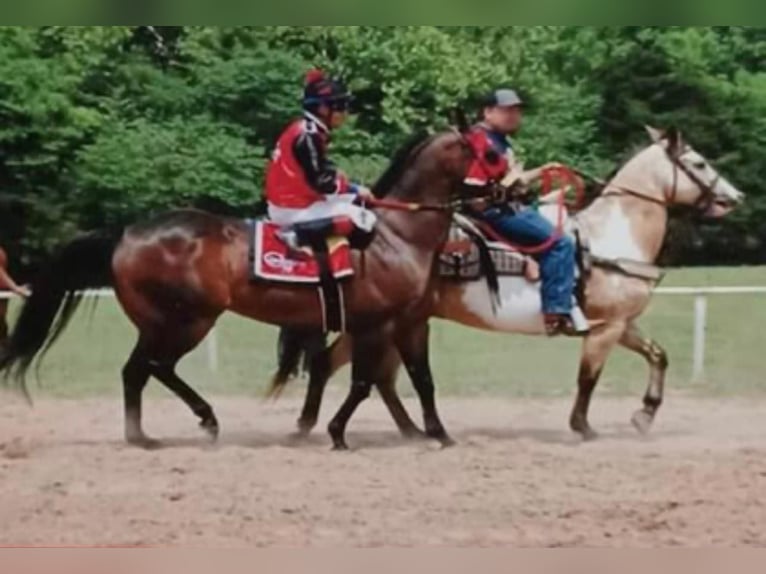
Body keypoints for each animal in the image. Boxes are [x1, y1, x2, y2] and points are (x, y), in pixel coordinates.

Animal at [1, 130, 480, 450]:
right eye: (482, 151)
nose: (493, 192)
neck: (395, 235)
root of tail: (127, 234)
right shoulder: (374, 324)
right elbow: (364, 382)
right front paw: (338, 433)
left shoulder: (407, 323)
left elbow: (421, 378)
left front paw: (438, 433)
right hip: (185, 320)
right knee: (152, 368)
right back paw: (193, 422)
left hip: (164, 324)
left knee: (139, 371)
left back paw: (146, 433)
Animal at [274, 128, 744, 444]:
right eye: (699, 163)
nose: (735, 197)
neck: (610, 237)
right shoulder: (605, 329)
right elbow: (588, 379)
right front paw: (583, 427)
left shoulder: (620, 324)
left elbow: (658, 355)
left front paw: (644, 415)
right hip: (382, 323)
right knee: (342, 367)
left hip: (394, 324)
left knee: (369, 376)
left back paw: (395, 431)